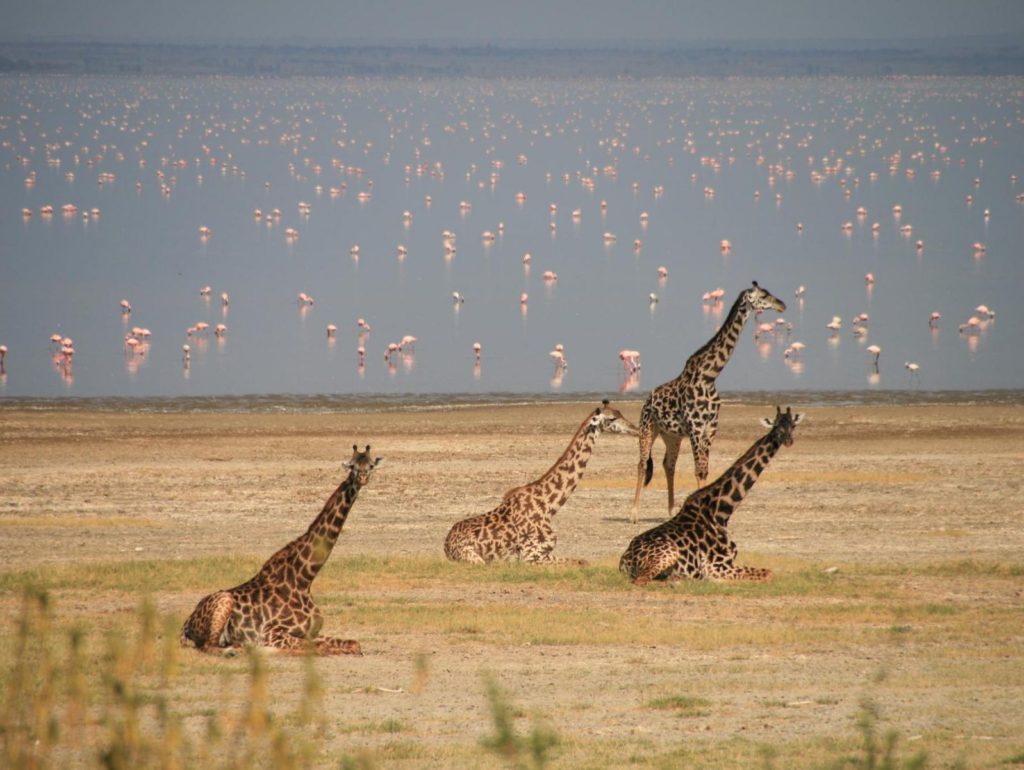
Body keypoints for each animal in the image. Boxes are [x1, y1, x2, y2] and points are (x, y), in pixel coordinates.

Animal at [179, 444, 380, 655]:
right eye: (352, 466)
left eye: (371, 465)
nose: (363, 477)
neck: (304, 579)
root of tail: (186, 623)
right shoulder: (271, 633)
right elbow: (319, 648)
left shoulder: (311, 632)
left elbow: (353, 644)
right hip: (224, 601)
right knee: (208, 646)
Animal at [444, 403, 634, 565]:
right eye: (612, 418)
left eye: (620, 413)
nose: (634, 428)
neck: (549, 506)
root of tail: (446, 545)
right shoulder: (531, 556)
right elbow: (579, 562)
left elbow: (583, 561)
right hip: (475, 559)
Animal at [618, 405, 802, 581]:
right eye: (777, 426)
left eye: (793, 425)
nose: (788, 440)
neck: (722, 511)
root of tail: (624, 560)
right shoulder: (716, 566)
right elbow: (769, 573)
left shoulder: (729, 562)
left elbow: (769, 572)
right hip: (667, 554)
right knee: (642, 580)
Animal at [630, 282, 782, 524]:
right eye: (764, 295)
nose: (782, 305)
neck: (709, 376)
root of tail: (647, 400)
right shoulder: (695, 428)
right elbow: (698, 470)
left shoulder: (710, 429)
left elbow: (704, 470)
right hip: (648, 429)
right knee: (642, 464)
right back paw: (634, 514)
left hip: (671, 436)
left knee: (668, 465)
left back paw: (671, 511)